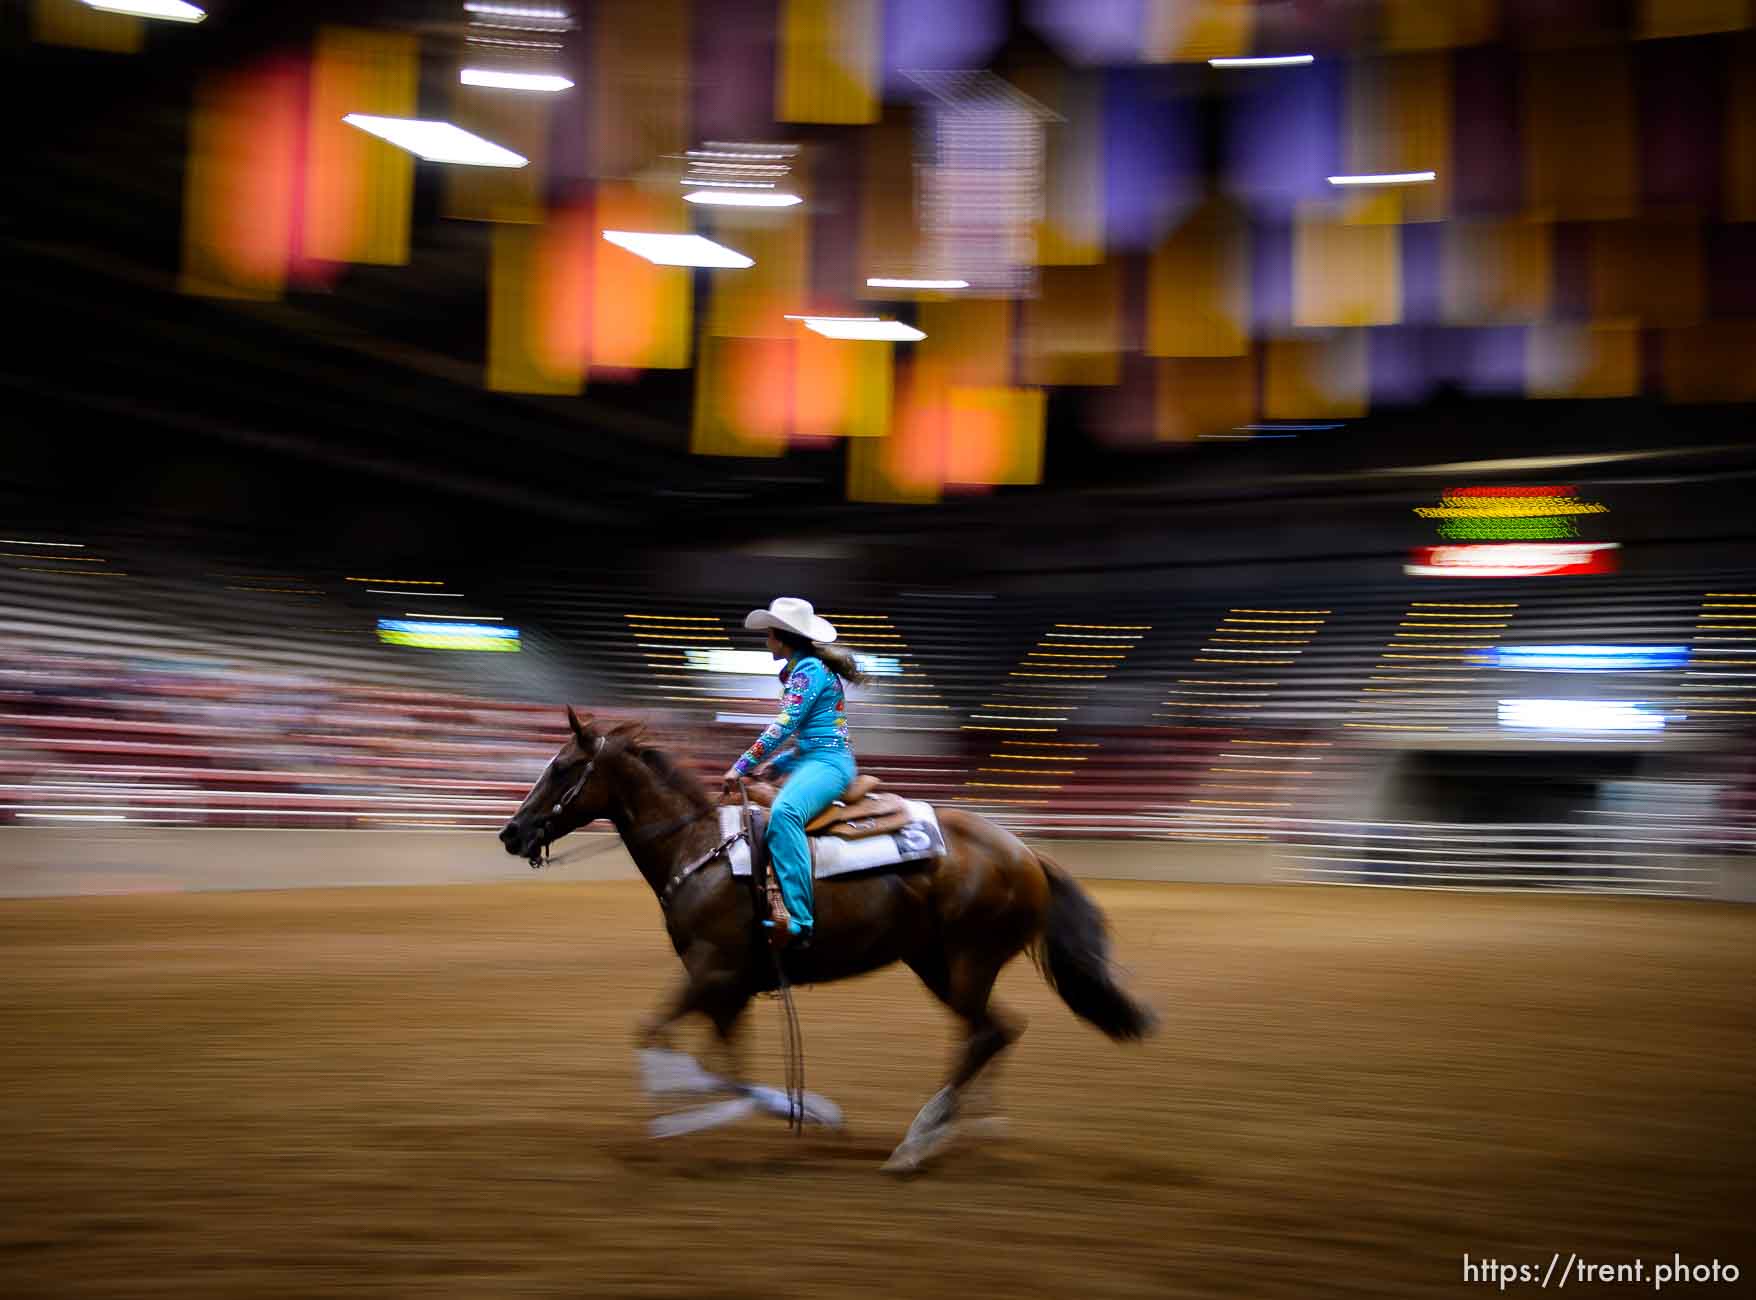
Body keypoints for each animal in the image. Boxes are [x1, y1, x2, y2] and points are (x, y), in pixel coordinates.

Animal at [498, 709, 1151, 1166]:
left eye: (561, 768)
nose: (512, 833)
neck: (699, 848)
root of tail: (1025, 853)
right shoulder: (728, 989)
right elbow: (728, 1068)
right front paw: (806, 1113)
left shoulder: (713, 973)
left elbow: (661, 1038)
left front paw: (683, 1123)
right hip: (936, 964)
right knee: (996, 1032)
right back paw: (966, 1126)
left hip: (969, 961)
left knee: (985, 1035)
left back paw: (918, 1142)